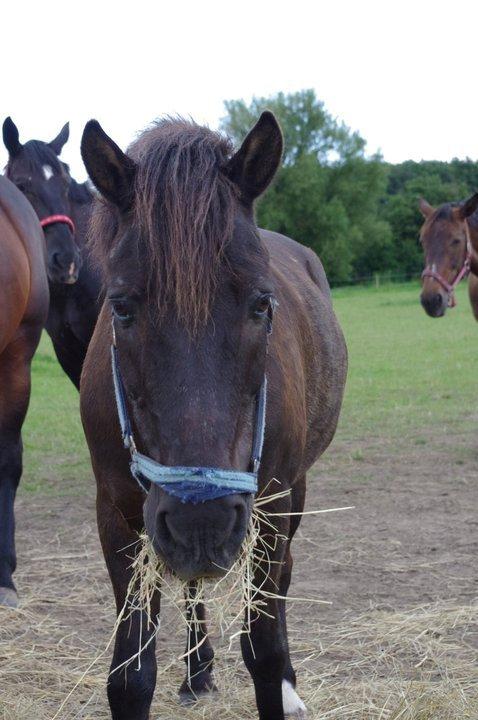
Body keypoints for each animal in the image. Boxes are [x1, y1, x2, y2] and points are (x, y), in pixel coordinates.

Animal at [79, 114, 348, 720]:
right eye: (121, 307)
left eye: (262, 304)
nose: (201, 521)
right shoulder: (118, 517)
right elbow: (129, 677)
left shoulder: (269, 508)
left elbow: (264, 651)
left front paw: (280, 685)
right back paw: (196, 671)